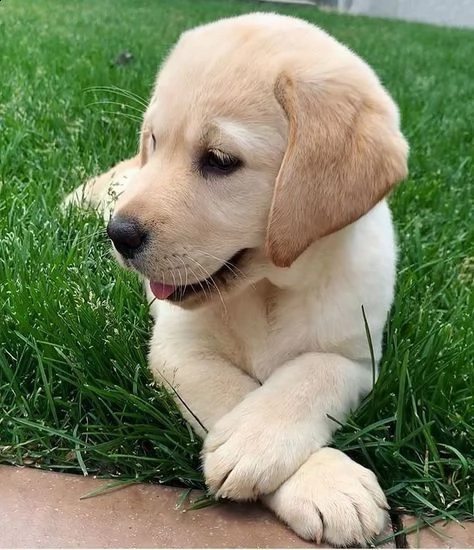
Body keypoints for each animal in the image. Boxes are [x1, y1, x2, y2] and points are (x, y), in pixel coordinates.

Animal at [65, 12, 410, 548]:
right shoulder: (179, 350)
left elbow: (309, 376)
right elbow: (230, 389)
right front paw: (322, 477)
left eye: (220, 160)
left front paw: (271, 449)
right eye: (155, 142)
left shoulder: (358, 355)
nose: (118, 235)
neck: (270, 288)